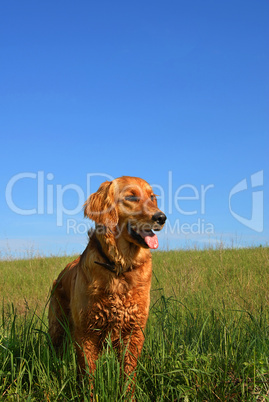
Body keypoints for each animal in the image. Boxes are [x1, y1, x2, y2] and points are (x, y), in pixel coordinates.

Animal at [48, 175, 165, 386]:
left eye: (152, 197)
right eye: (131, 197)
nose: (161, 217)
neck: (119, 267)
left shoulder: (133, 332)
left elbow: (128, 376)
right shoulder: (86, 332)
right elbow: (88, 377)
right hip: (57, 327)